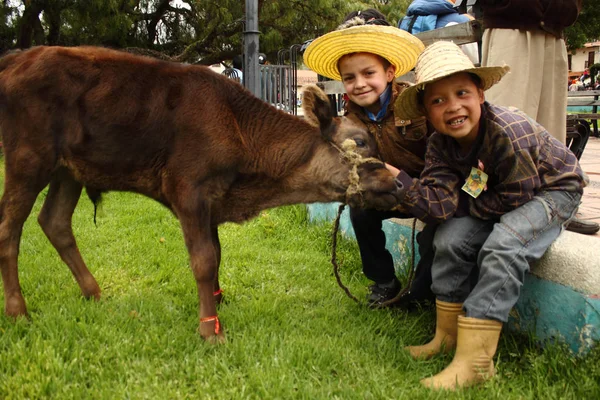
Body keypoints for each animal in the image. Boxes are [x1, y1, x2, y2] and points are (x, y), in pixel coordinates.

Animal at [0, 46, 398, 340]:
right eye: (361, 141)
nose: (397, 181)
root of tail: (20, 57)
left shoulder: (213, 199)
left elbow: (217, 253)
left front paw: (217, 304)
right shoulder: (189, 190)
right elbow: (204, 259)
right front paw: (210, 329)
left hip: (68, 170)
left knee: (55, 222)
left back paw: (93, 293)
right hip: (27, 159)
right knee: (9, 229)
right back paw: (19, 313)